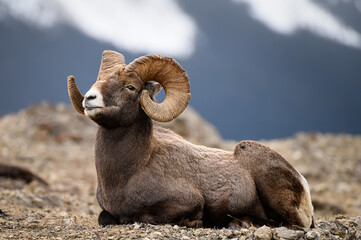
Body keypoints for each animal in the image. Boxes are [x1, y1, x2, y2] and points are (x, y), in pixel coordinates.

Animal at [67, 49, 312, 228]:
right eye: (98, 81)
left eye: (130, 87)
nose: (90, 98)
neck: (128, 173)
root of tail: (302, 183)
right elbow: (104, 218)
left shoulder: (185, 202)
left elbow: (142, 217)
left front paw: (194, 222)